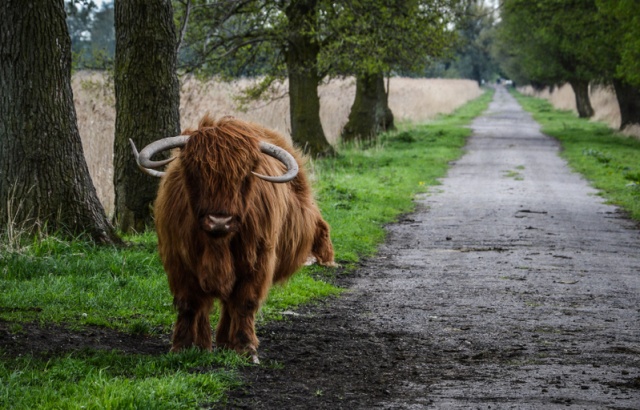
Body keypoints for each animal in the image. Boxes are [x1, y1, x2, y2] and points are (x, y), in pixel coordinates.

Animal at [130, 115, 336, 362]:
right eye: (195, 171)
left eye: (245, 175)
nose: (219, 221)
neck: (217, 245)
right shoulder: (178, 260)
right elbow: (189, 303)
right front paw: (182, 345)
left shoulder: (257, 260)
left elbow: (244, 303)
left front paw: (246, 348)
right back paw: (205, 344)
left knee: (229, 304)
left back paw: (225, 343)